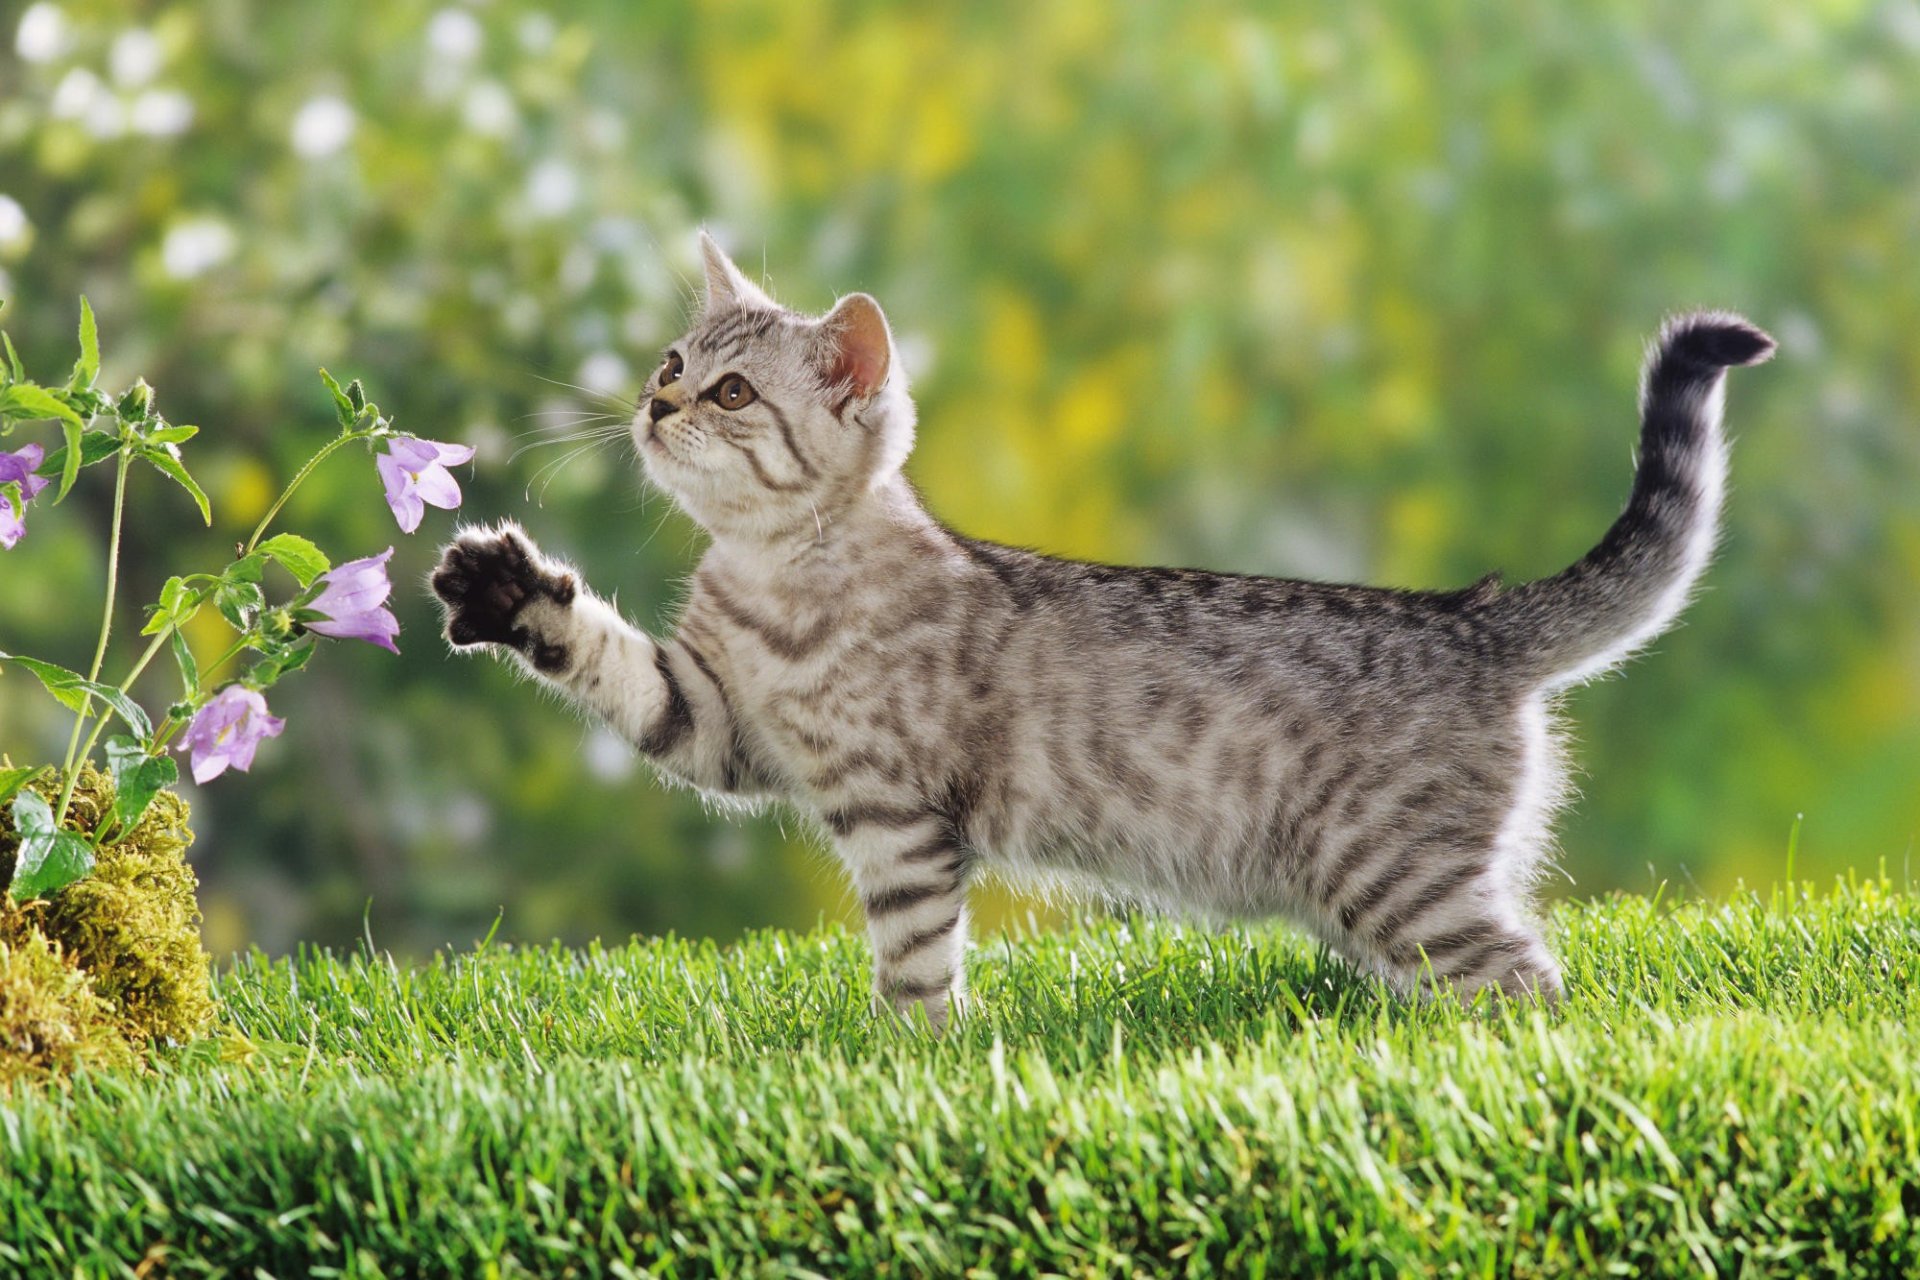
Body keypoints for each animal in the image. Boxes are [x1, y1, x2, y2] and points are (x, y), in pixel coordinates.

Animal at [432, 233, 1766, 1028]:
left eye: (731, 391)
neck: (776, 577)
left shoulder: (897, 813)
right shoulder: (716, 721)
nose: (654, 405)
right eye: (670, 361)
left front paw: (906, 1055)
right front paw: (508, 588)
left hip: (1398, 879)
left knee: (1534, 987)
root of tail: (1477, 617)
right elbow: (609, 662)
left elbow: (913, 957)